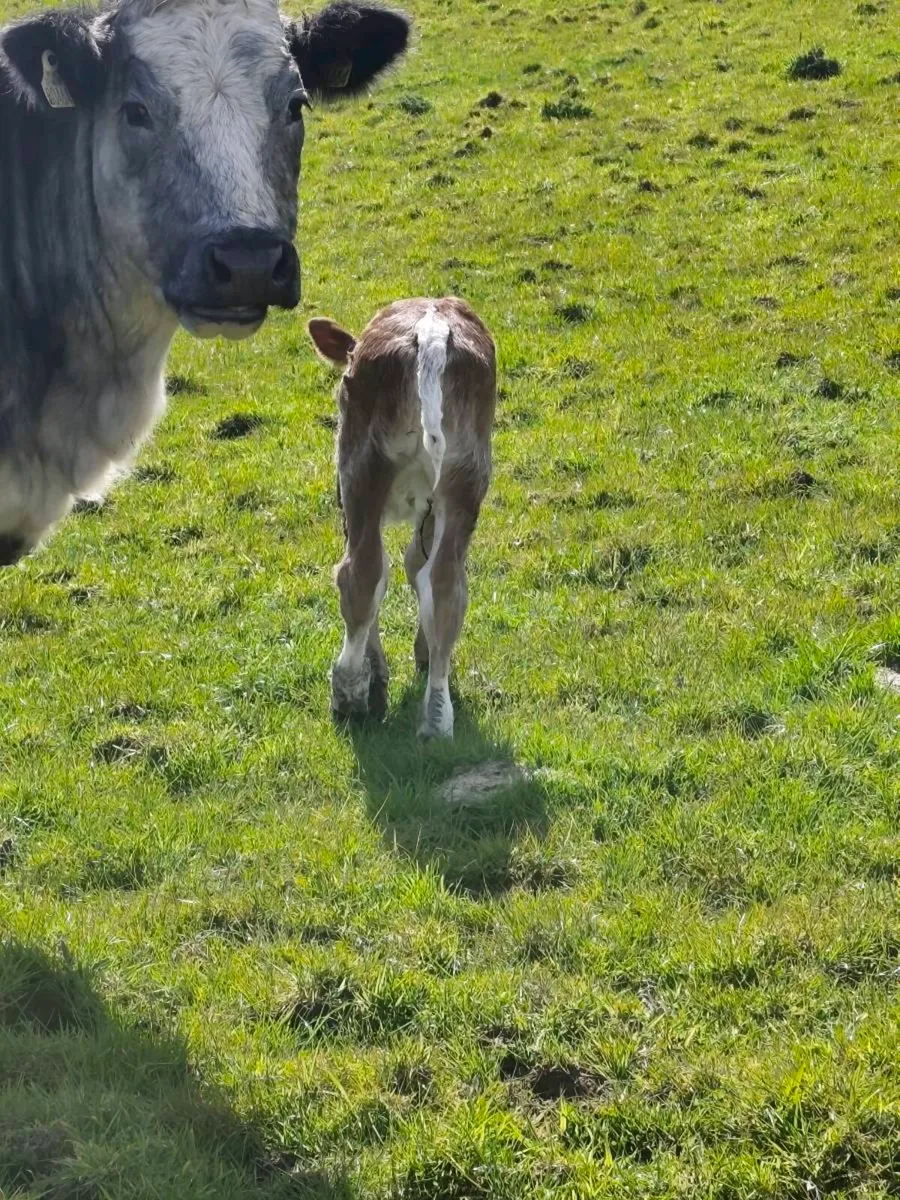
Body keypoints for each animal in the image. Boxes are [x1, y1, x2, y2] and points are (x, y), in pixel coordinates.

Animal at [307, 297, 496, 739]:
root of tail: (432, 332)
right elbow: (413, 565)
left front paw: (376, 672)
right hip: (462, 477)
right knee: (441, 581)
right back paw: (436, 718)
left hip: (361, 469)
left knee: (363, 572)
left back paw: (349, 694)